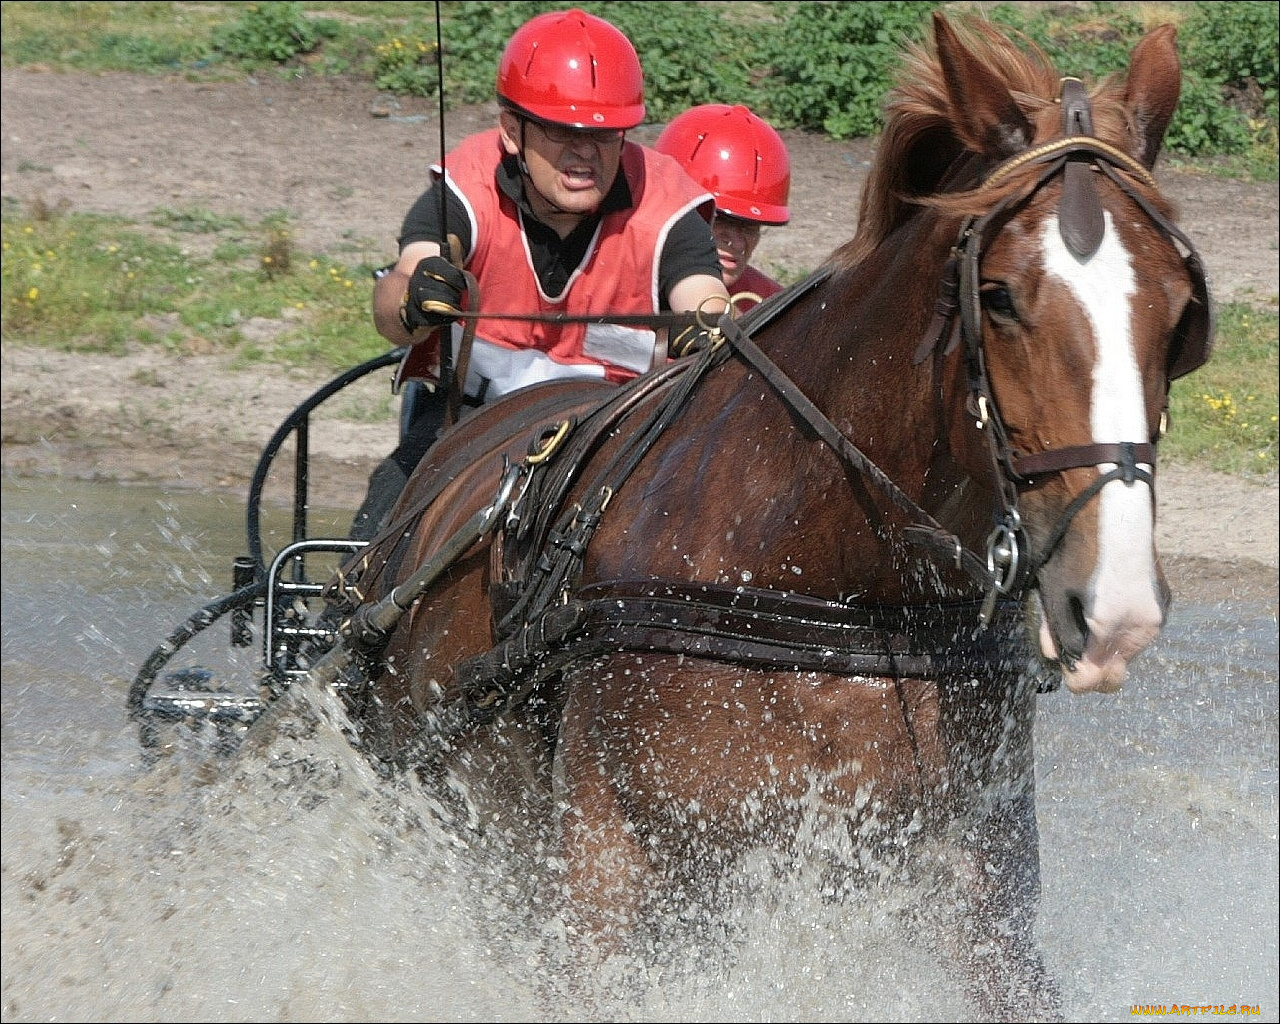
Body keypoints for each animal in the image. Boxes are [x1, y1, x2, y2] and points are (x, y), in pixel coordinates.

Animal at [320, 12, 1208, 1018]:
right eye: (998, 296)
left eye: (1182, 312)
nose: (1115, 604)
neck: (828, 585)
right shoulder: (605, 872)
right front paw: (426, 282)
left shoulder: (976, 877)